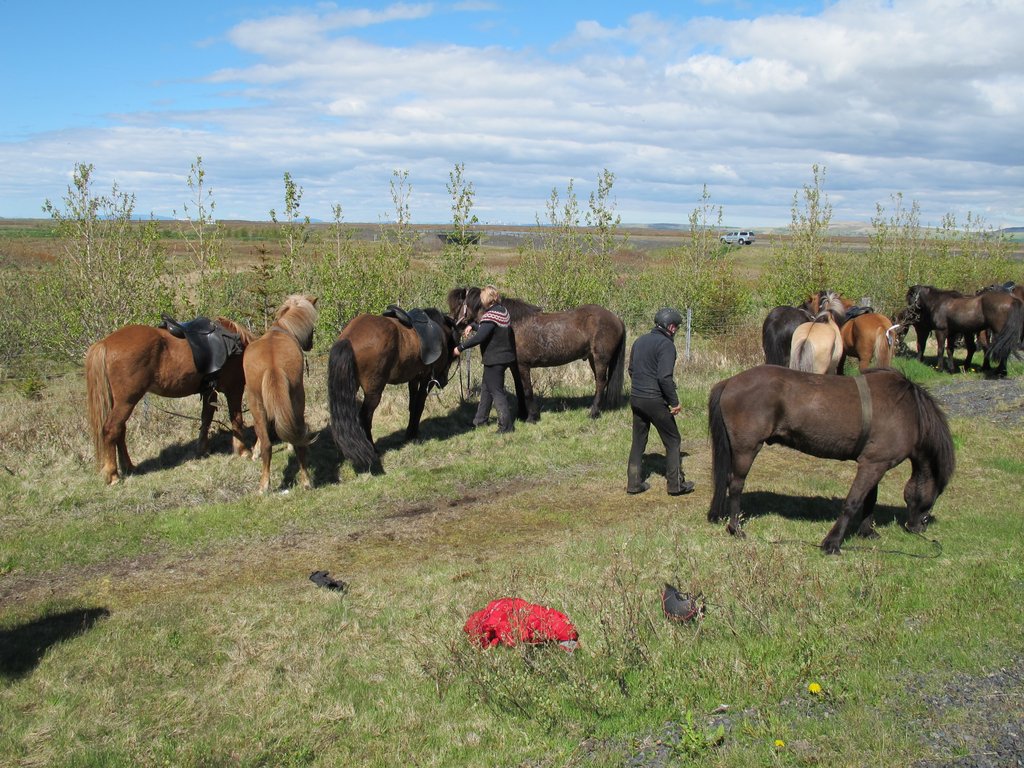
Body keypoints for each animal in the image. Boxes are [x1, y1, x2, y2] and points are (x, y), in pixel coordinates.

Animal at [85, 316, 253, 485]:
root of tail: (105, 343)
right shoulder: (234, 388)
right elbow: (236, 419)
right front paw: (243, 451)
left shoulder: (209, 391)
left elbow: (206, 418)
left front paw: (202, 449)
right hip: (127, 401)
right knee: (111, 429)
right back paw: (113, 474)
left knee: (120, 430)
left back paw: (129, 467)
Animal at [243, 295, 318, 494]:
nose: (310, 344)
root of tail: (273, 366)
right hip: (296, 401)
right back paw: (305, 481)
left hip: (257, 404)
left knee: (268, 443)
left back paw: (265, 485)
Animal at [327, 307, 458, 473]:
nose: (443, 382)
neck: (438, 329)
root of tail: (349, 338)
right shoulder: (426, 380)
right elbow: (419, 406)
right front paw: (413, 434)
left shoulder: (414, 378)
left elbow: (412, 406)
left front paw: (410, 433)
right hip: (374, 392)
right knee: (364, 417)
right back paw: (373, 450)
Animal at [447, 287, 626, 423]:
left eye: (458, 306)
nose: (454, 327)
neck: (513, 324)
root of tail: (616, 319)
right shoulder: (514, 367)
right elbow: (519, 389)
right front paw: (521, 414)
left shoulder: (523, 366)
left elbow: (527, 390)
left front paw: (532, 417)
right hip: (592, 359)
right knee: (600, 382)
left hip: (600, 359)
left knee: (601, 382)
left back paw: (593, 413)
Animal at [708, 365, 955, 554]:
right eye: (935, 494)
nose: (919, 527)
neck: (909, 412)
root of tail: (730, 382)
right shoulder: (874, 464)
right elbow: (853, 502)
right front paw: (832, 543)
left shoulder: (875, 464)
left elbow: (870, 499)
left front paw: (867, 532)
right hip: (747, 449)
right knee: (736, 485)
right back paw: (736, 529)